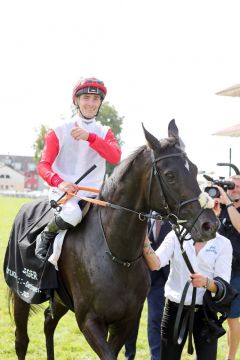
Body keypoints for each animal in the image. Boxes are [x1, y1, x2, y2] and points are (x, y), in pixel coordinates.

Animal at [6, 120, 219, 358]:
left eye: (194, 168)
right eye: (170, 175)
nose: (209, 225)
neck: (117, 253)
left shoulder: (126, 320)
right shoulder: (89, 320)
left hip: (60, 299)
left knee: (48, 323)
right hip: (22, 291)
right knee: (21, 340)